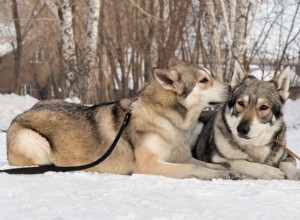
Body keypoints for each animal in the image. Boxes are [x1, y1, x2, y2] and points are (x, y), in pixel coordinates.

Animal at [7, 58, 236, 179]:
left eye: (210, 76)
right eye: (204, 80)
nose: (232, 87)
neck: (172, 121)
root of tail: (20, 115)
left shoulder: (182, 157)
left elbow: (211, 165)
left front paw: (228, 171)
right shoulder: (149, 165)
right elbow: (194, 168)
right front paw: (218, 174)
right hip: (36, 143)